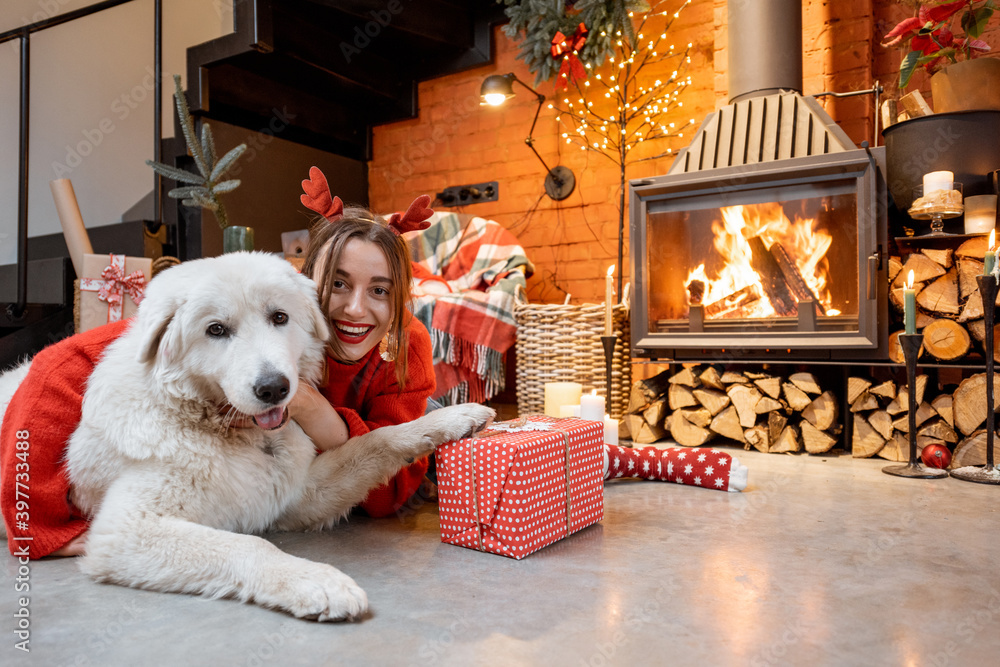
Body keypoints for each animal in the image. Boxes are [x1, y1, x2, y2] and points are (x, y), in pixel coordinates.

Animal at [0, 252, 492, 620]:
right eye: (216, 330)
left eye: (279, 317)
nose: (273, 388)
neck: (218, 425)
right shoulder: (125, 531)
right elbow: (250, 544)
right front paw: (317, 581)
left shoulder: (298, 495)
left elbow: (380, 440)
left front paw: (456, 418)